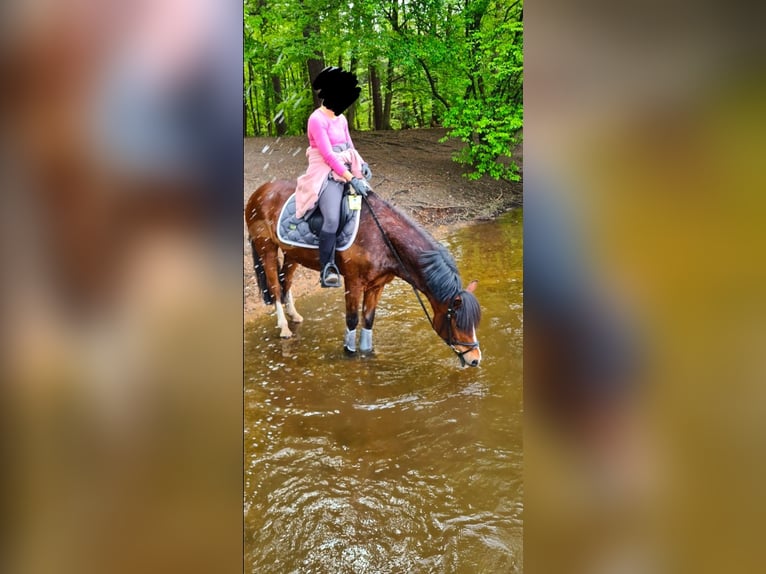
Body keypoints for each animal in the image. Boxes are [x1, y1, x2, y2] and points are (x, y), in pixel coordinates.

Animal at [246, 180, 484, 368]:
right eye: (457, 322)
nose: (475, 359)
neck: (383, 238)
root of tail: (261, 190)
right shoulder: (354, 283)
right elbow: (352, 320)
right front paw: (349, 353)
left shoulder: (377, 285)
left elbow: (368, 320)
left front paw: (368, 354)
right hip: (266, 247)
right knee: (275, 286)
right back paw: (284, 327)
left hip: (291, 253)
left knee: (285, 281)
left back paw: (293, 315)